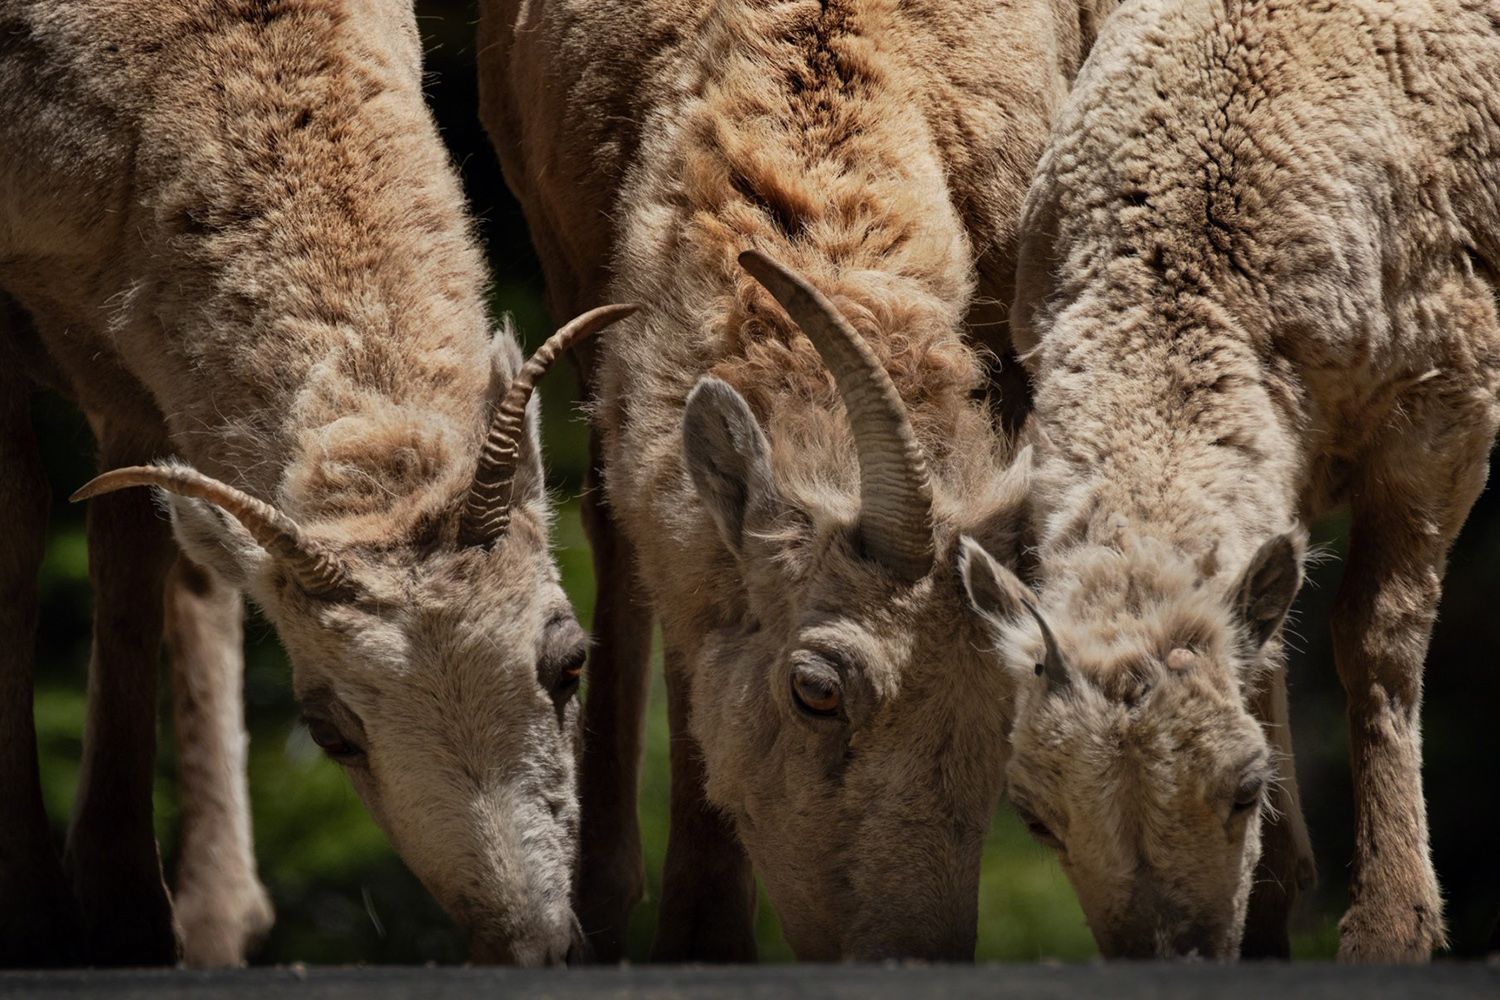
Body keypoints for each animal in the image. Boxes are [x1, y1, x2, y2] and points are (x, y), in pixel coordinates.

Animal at [0, 0, 628, 967]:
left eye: (569, 661)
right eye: (329, 731)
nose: (530, 948)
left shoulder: (127, 364)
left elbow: (132, 559)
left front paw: (129, 922)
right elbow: (21, 530)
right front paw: (47, 921)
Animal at [964, 0, 1500, 961]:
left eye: (1247, 789)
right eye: (1035, 816)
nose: (1171, 958)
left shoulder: (1446, 402)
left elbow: (1377, 633)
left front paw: (1392, 926)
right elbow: (1270, 645)